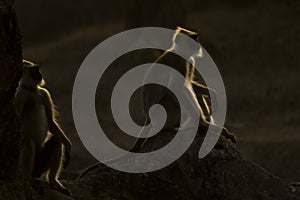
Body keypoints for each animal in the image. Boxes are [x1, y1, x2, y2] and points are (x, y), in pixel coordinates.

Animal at [15, 59, 72, 195]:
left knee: (57, 141)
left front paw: (68, 147)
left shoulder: (44, 93)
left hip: (40, 164)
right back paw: (28, 178)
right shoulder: (19, 95)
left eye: (37, 69)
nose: (40, 75)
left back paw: (53, 181)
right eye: (34, 71)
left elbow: (51, 122)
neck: (31, 91)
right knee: (28, 142)